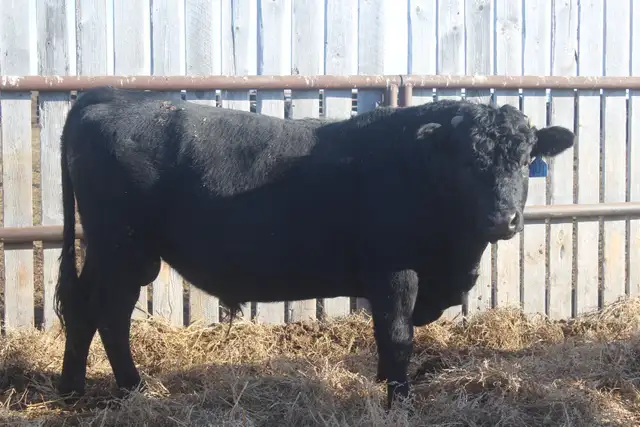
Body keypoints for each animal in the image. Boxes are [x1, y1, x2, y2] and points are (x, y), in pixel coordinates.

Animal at [53, 86, 575, 408]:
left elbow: (385, 337)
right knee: (111, 314)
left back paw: (72, 390)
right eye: (469, 161)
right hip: (124, 251)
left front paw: (383, 384)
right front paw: (399, 401)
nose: (501, 219)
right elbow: (398, 336)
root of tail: (113, 96)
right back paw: (133, 389)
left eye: (525, 159)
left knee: (80, 308)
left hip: (107, 250)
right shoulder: (394, 270)